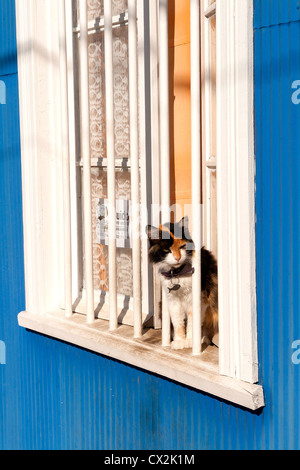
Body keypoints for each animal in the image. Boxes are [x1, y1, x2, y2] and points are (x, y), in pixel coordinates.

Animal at [146, 217, 218, 348]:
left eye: (182, 246)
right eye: (167, 250)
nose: (177, 258)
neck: (178, 274)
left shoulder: (199, 298)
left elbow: (192, 322)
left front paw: (190, 341)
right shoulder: (172, 300)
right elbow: (178, 322)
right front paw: (179, 341)